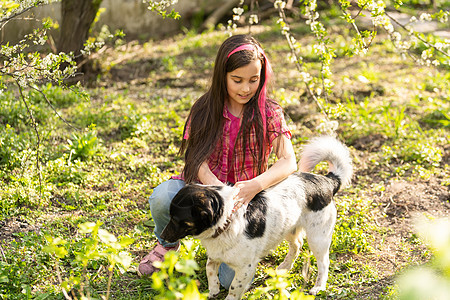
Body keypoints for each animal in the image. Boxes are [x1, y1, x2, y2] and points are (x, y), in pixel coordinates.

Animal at [160, 137, 354, 300]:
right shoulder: (215, 255)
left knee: (323, 262)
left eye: (177, 219)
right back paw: (284, 268)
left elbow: (234, 287)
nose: (162, 236)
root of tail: (327, 181)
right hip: (289, 226)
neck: (227, 220)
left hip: (318, 237)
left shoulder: (246, 267)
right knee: (297, 245)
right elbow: (209, 268)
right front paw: (213, 289)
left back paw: (319, 286)